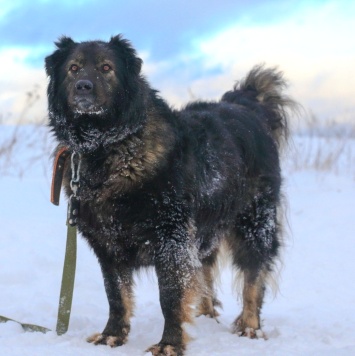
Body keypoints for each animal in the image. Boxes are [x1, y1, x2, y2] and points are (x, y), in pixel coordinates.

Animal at [46, 34, 296, 356]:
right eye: (73, 68)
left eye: (106, 68)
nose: (83, 86)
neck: (107, 147)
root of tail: (248, 107)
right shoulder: (108, 244)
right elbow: (116, 295)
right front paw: (112, 336)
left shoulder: (171, 240)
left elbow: (170, 297)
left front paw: (170, 343)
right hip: (206, 230)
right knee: (205, 273)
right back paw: (204, 316)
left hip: (254, 222)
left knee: (254, 276)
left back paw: (250, 327)